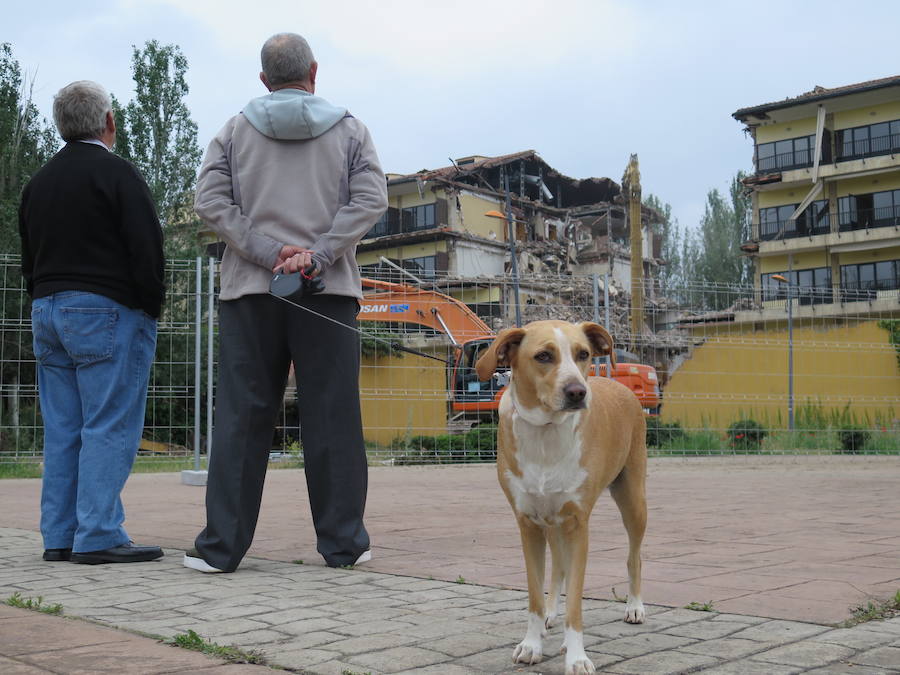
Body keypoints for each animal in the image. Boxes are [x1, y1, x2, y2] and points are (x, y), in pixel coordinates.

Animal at [478, 322, 648, 675]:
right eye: (543, 356)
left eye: (583, 354)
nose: (577, 392)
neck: (546, 434)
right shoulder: (528, 524)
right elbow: (535, 592)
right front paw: (532, 644)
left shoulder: (577, 524)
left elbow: (577, 599)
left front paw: (577, 656)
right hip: (550, 520)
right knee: (557, 566)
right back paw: (550, 613)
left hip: (633, 499)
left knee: (633, 556)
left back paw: (635, 606)